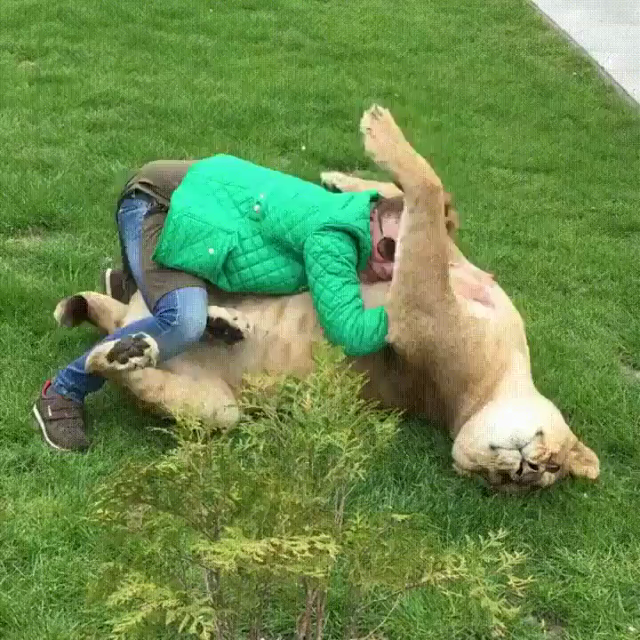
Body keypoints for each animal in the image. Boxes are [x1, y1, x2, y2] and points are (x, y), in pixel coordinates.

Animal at [53, 105, 600, 491]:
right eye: (550, 463)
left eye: (515, 482)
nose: (522, 469)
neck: (488, 389)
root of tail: (131, 317)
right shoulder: (446, 264)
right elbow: (429, 200)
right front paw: (357, 167)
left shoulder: (420, 310)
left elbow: (426, 197)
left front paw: (377, 142)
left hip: (215, 407)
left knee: (132, 367)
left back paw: (131, 352)